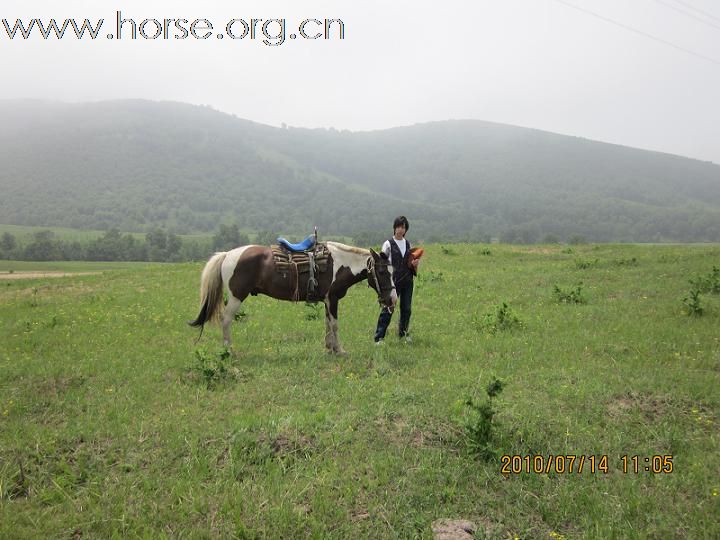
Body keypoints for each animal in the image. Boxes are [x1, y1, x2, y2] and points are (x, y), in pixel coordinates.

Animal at [188, 242, 396, 354]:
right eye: (382, 272)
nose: (393, 299)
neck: (339, 263)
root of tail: (228, 255)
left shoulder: (327, 301)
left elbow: (327, 325)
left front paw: (329, 349)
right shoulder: (333, 299)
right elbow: (335, 325)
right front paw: (340, 350)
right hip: (236, 296)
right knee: (226, 320)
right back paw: (228, 350)